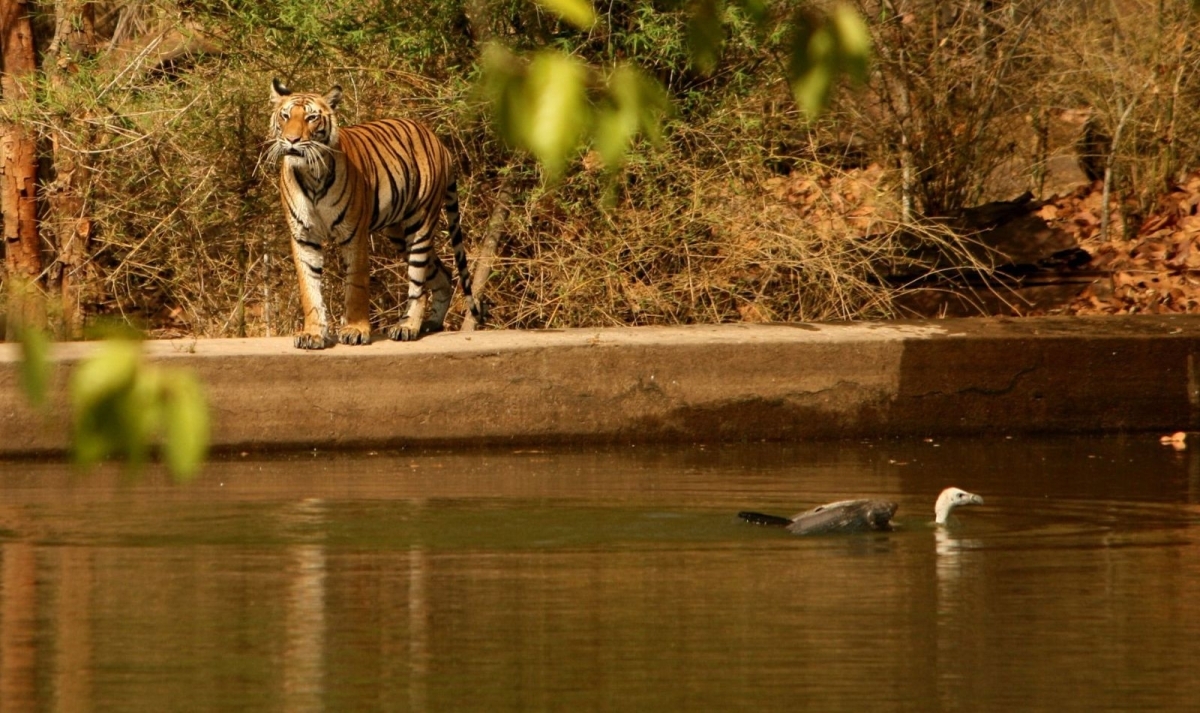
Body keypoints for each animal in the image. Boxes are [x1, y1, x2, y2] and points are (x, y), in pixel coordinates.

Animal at [267, 78, 484, 349]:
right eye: (285, 116)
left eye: (311, 118)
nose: (292, 140)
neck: (311, 174)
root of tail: (438, 140)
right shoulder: (303, 237)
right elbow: (310, 289)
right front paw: (313, 333)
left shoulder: (354, 235)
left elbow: (356, 286)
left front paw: (356, 330)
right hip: (398, 233)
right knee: (443, 274)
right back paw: (432, 323)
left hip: (420, 224)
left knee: (418, 282)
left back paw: (407, 327)